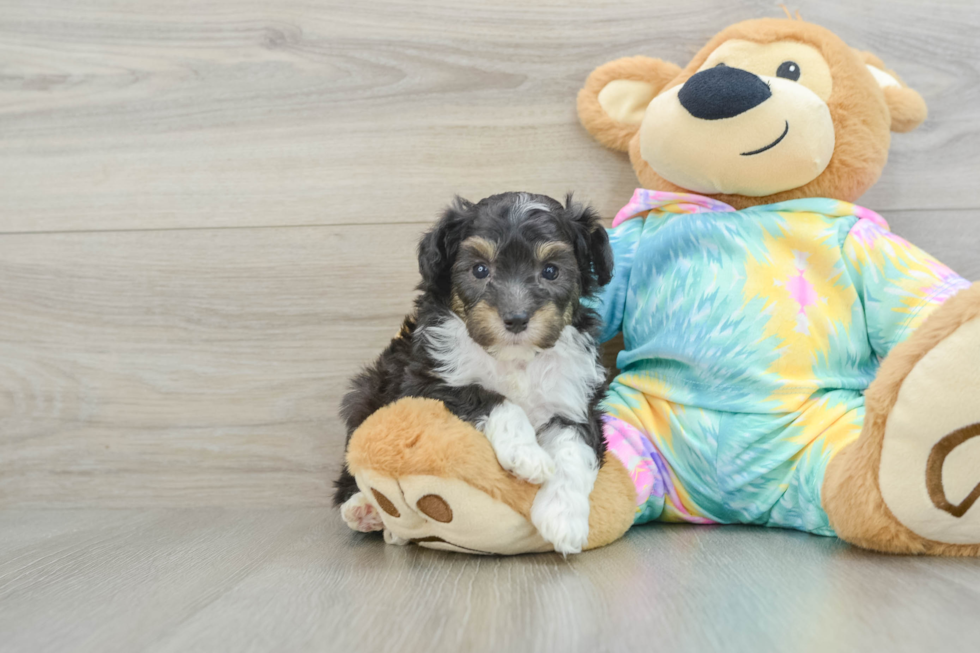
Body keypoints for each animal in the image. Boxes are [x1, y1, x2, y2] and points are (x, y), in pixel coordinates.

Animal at [334, 191, 612, 552]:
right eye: (480, 269)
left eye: (551, 271)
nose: (516, 319)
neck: (515, 358)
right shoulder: (428, 382)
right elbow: (492, 399)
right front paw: (527, 455)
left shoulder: (575, 399)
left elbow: (573, 451)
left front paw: (563, 519)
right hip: (366, 395)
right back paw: (365, 509)